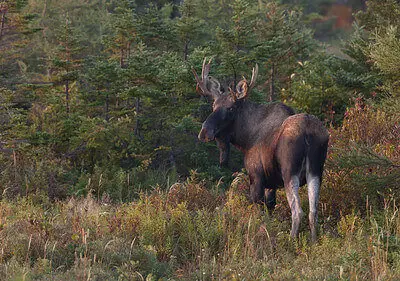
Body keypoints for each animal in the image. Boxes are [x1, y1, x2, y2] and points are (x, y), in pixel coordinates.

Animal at [193, 57, 328, 241]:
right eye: (214, 105)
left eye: (231, 108)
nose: (205, 132)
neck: (246, 137)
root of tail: (308, 132)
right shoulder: (272, 183)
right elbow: (270, 208)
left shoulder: (256, 176)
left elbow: (258, 211)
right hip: (315, 171)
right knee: (313, 212)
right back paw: (314, 242)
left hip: (290, 172)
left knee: (297, 211)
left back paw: (291, 240)